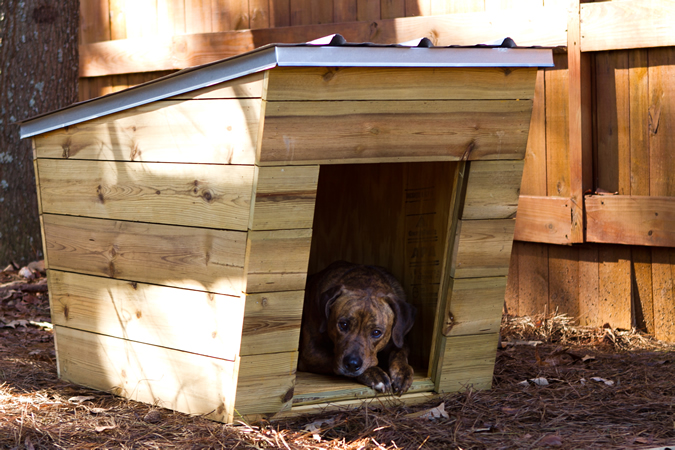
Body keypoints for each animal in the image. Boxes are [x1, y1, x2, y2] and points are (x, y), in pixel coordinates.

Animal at [300, 260, 418, 394]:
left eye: (376, 332)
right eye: (343, 324)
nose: (352, 364)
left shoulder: (400, 339)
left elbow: (400, 352)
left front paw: (403, 372)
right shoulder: (310, 352)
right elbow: (333, 358)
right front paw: (375, 374)